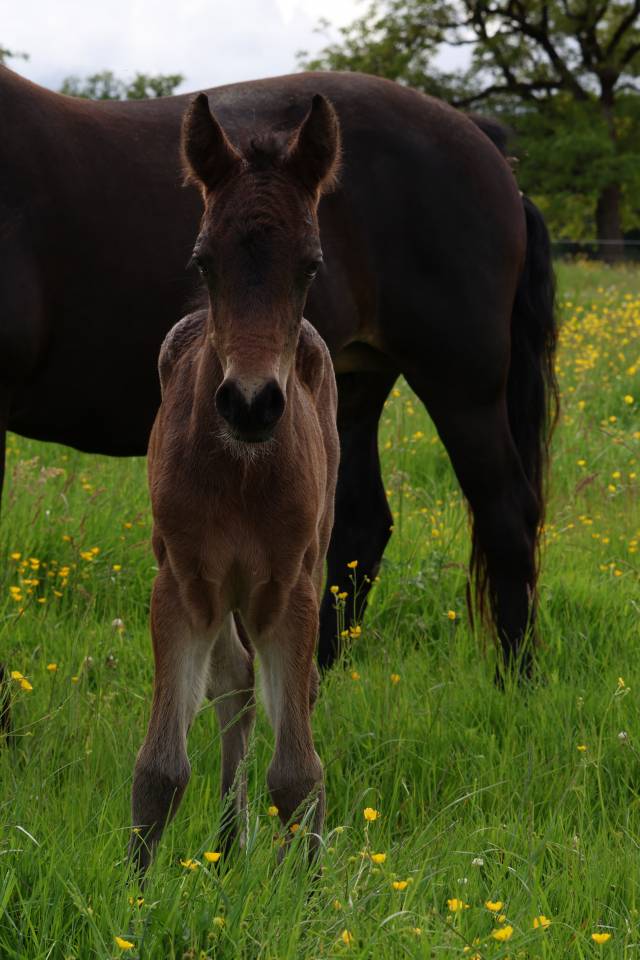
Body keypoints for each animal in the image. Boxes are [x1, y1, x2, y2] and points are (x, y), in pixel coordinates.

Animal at [0, 65, 556, 690]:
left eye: (310, 265)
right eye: (200, 263)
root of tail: (487, 146)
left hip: (463, 386)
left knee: (506, 514)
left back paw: (518, 686)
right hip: (353, 389)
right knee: (360, 528)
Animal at [128, 94, 340, 872]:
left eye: (310, 266)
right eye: (203, 260)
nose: (250, 404)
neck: (243, 476)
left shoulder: (291, 584)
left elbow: (299, 774)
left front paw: (310, 895)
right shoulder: (184, 582)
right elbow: (159, 770)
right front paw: (135, 895)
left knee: (279, 691)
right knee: (234, 683)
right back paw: (225, 843)